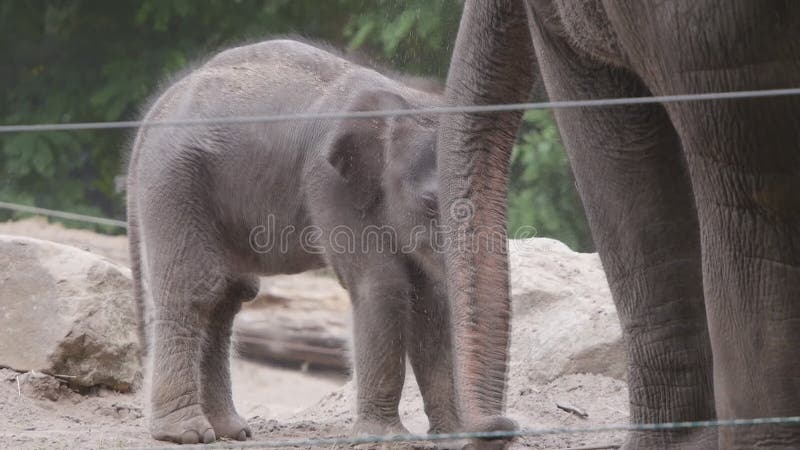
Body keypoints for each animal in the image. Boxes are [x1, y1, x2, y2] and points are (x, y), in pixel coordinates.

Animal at [129, 37, 460, 442]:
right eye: (430, 202)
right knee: (195, 290)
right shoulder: (329, 182)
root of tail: (156, 110)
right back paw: (186, 434)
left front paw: (454, 434)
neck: (399, 96)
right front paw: (386, 438)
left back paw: (231, 431)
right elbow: (381, 284)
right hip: (174, 182)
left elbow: (432, 297)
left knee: (226, 297)